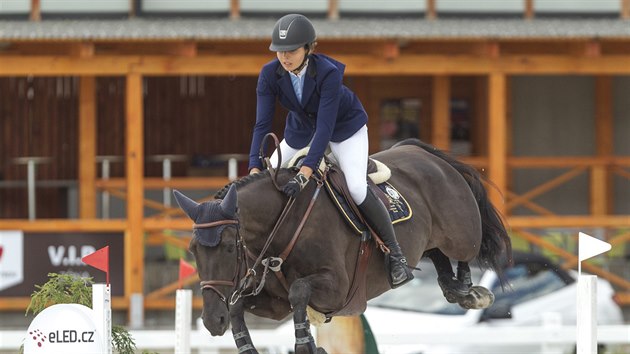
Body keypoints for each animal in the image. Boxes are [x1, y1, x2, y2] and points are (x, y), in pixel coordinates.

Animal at [174, 138, 512, 354]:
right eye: (193, 251)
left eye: (229, 248)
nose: (212, 321)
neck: (281, 222)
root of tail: (428, 154)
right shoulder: (274, 302)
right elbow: (239, 305)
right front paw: (246, 344)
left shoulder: (336, 288)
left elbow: (299, 290)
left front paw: (306, 345)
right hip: (430, 240)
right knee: (438, 256)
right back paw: (455, 288)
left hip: (461, 232)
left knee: (464, 252)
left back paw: (468, 290)